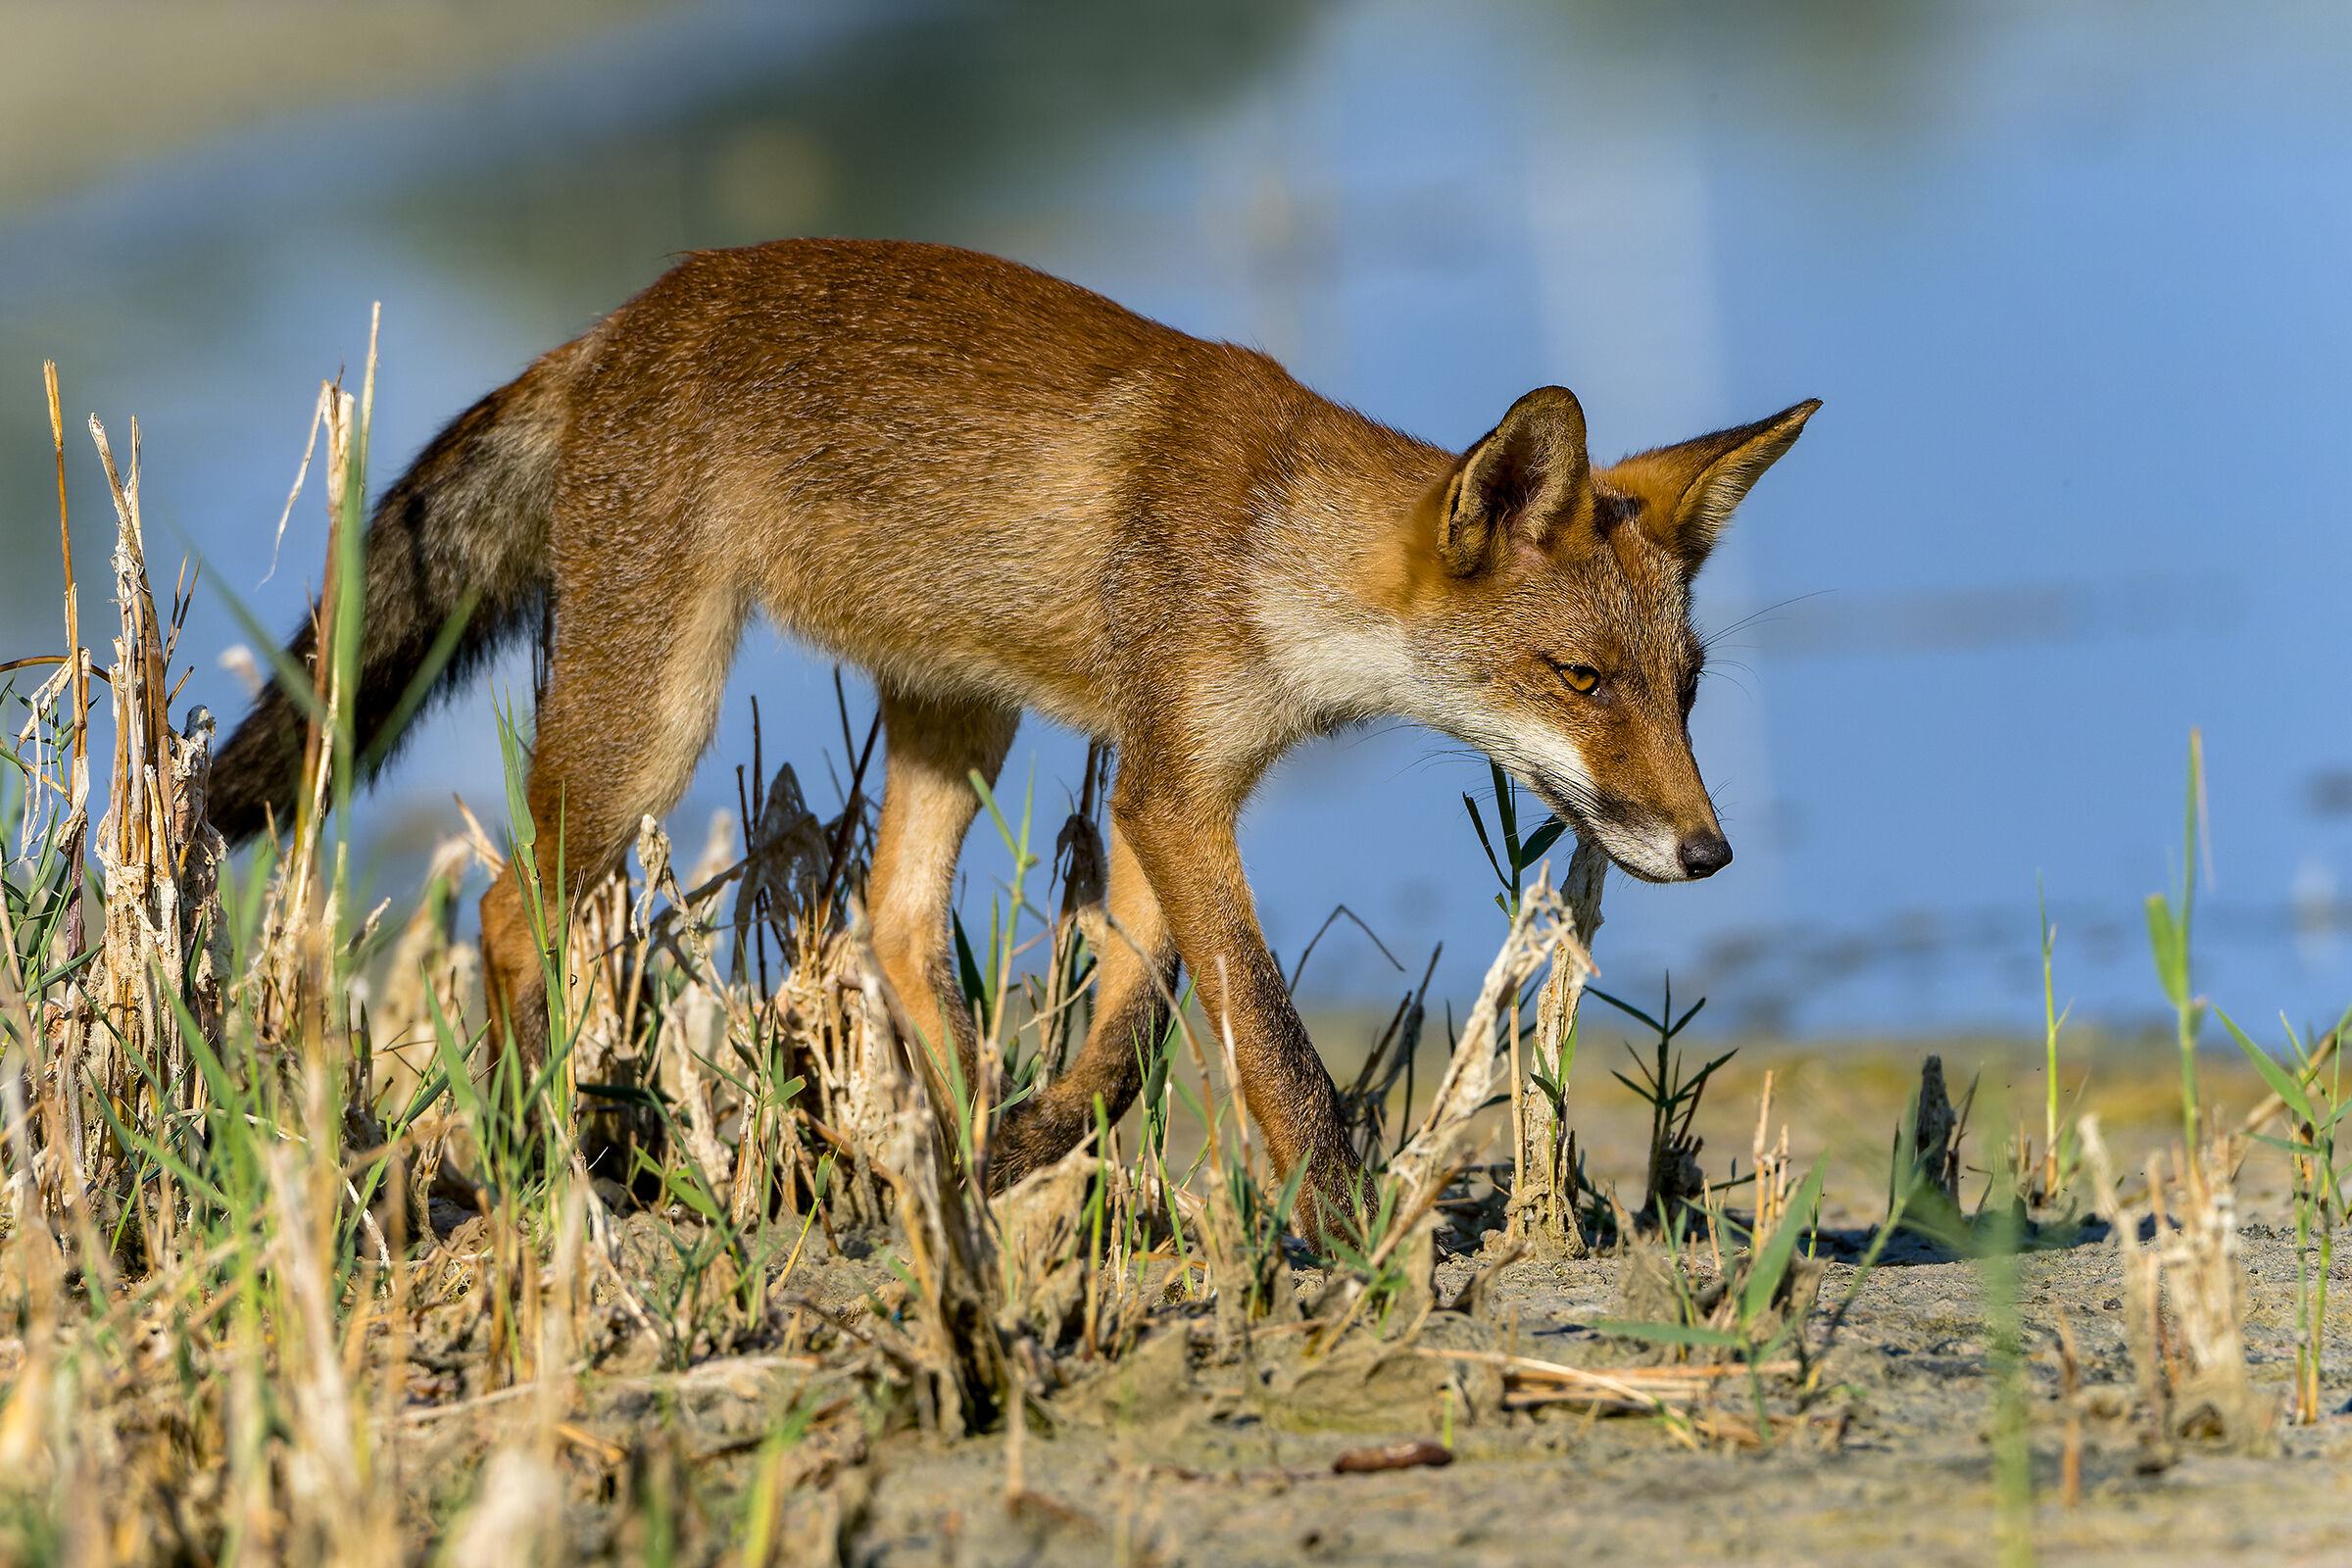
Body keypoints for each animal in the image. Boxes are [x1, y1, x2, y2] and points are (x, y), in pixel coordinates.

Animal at [211, 238, 1815, 1241]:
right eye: (1581, 679)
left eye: (1684, 687)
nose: (1712, 850)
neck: (1275, 549)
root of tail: (621, 324)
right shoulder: (1174, 787)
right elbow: (1273, 1039)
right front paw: (1350, 1231)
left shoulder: (1175, 789)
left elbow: (1143, 1018)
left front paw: (1045, 1140)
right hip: (653, 724)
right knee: (505, 909)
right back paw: (553, 1147)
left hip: (957, 717)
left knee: (894, 923)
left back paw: (956, 1143)